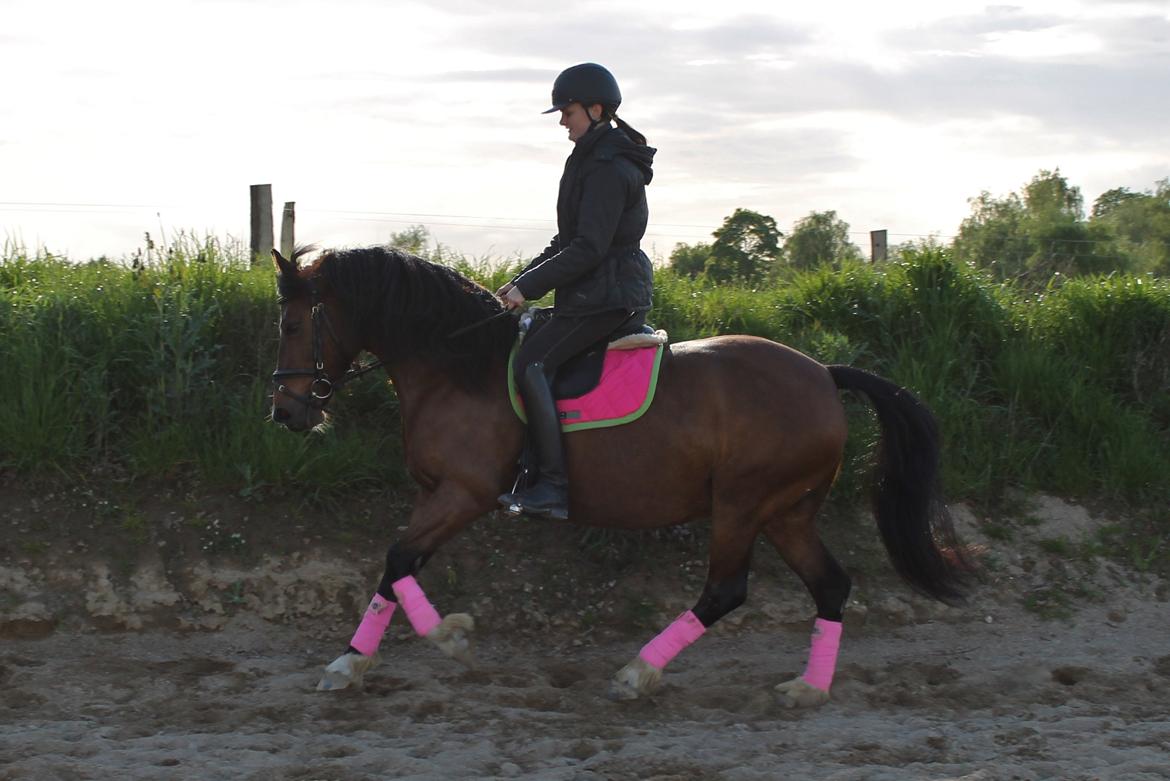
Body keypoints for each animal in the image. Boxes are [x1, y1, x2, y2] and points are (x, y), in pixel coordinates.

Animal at [269, 245, 969, 706]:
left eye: (293, 323)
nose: (287, 413)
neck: (457, 366)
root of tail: (824, 373)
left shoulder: (466, 494)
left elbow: (397, 560)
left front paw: (448, 638)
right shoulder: (434, 495)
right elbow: (396, 566)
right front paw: (352, 663)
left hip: (743, 504)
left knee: (726, 591)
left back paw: (638, 672)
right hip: (786, 511)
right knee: (830, 584)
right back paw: (807, 687)